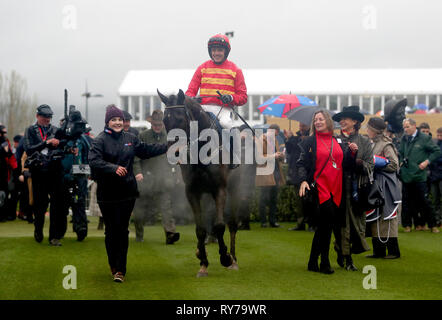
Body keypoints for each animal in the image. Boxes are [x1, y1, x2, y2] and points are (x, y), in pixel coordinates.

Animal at [159, 89, 242, 276]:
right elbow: (200, 228)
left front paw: (225, 257)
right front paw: (203, 262)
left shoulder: (219, 189)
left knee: (233, 224)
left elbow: (220, 225)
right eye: (165, 120)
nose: (173, 152)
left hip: (234, 189)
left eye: (180, 119)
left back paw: (233, 259)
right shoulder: (192, 191)